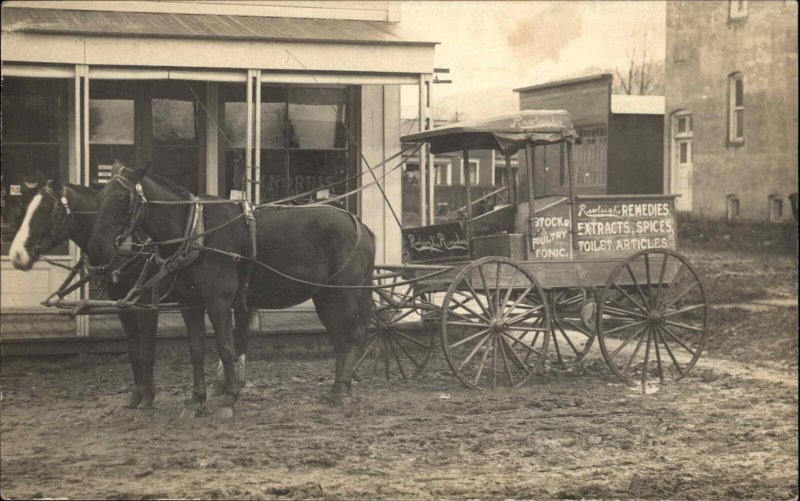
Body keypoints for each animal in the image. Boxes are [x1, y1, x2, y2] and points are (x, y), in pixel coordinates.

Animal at [87, 165, 376, 410]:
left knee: (353, 336)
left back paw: (341, 391)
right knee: (340, 339)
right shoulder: (190, 304)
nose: (97, 250)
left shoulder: (218, 302)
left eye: (122, 200)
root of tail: (360, 225)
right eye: (99, 199)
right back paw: (340, 387)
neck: (196, 229)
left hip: (343, 294)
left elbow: (226, 348)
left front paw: (230, 395)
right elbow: (196, 350)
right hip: (325, 296)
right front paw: (197, 399)